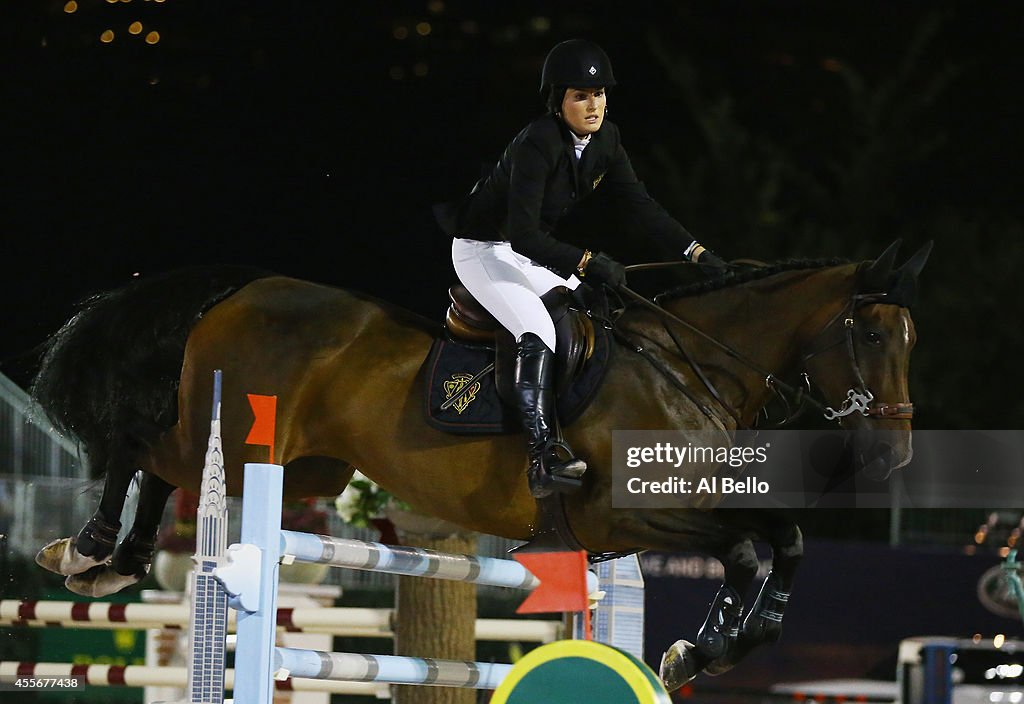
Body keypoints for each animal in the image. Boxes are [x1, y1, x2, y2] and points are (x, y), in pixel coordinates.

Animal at [32, 239, 933, 691]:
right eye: (872, 335)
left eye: (910, 340)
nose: (893, 456)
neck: (688, 367)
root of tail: (245, 288)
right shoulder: (629, 513)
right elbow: (751, 547)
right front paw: (700, 650)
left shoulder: (675, 512)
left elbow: (785, 540)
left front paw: (708, 649)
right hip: (237, 435)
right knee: (141, 447)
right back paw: (88, 549)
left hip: (307, 464)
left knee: (166, 470)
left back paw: (117, 562)